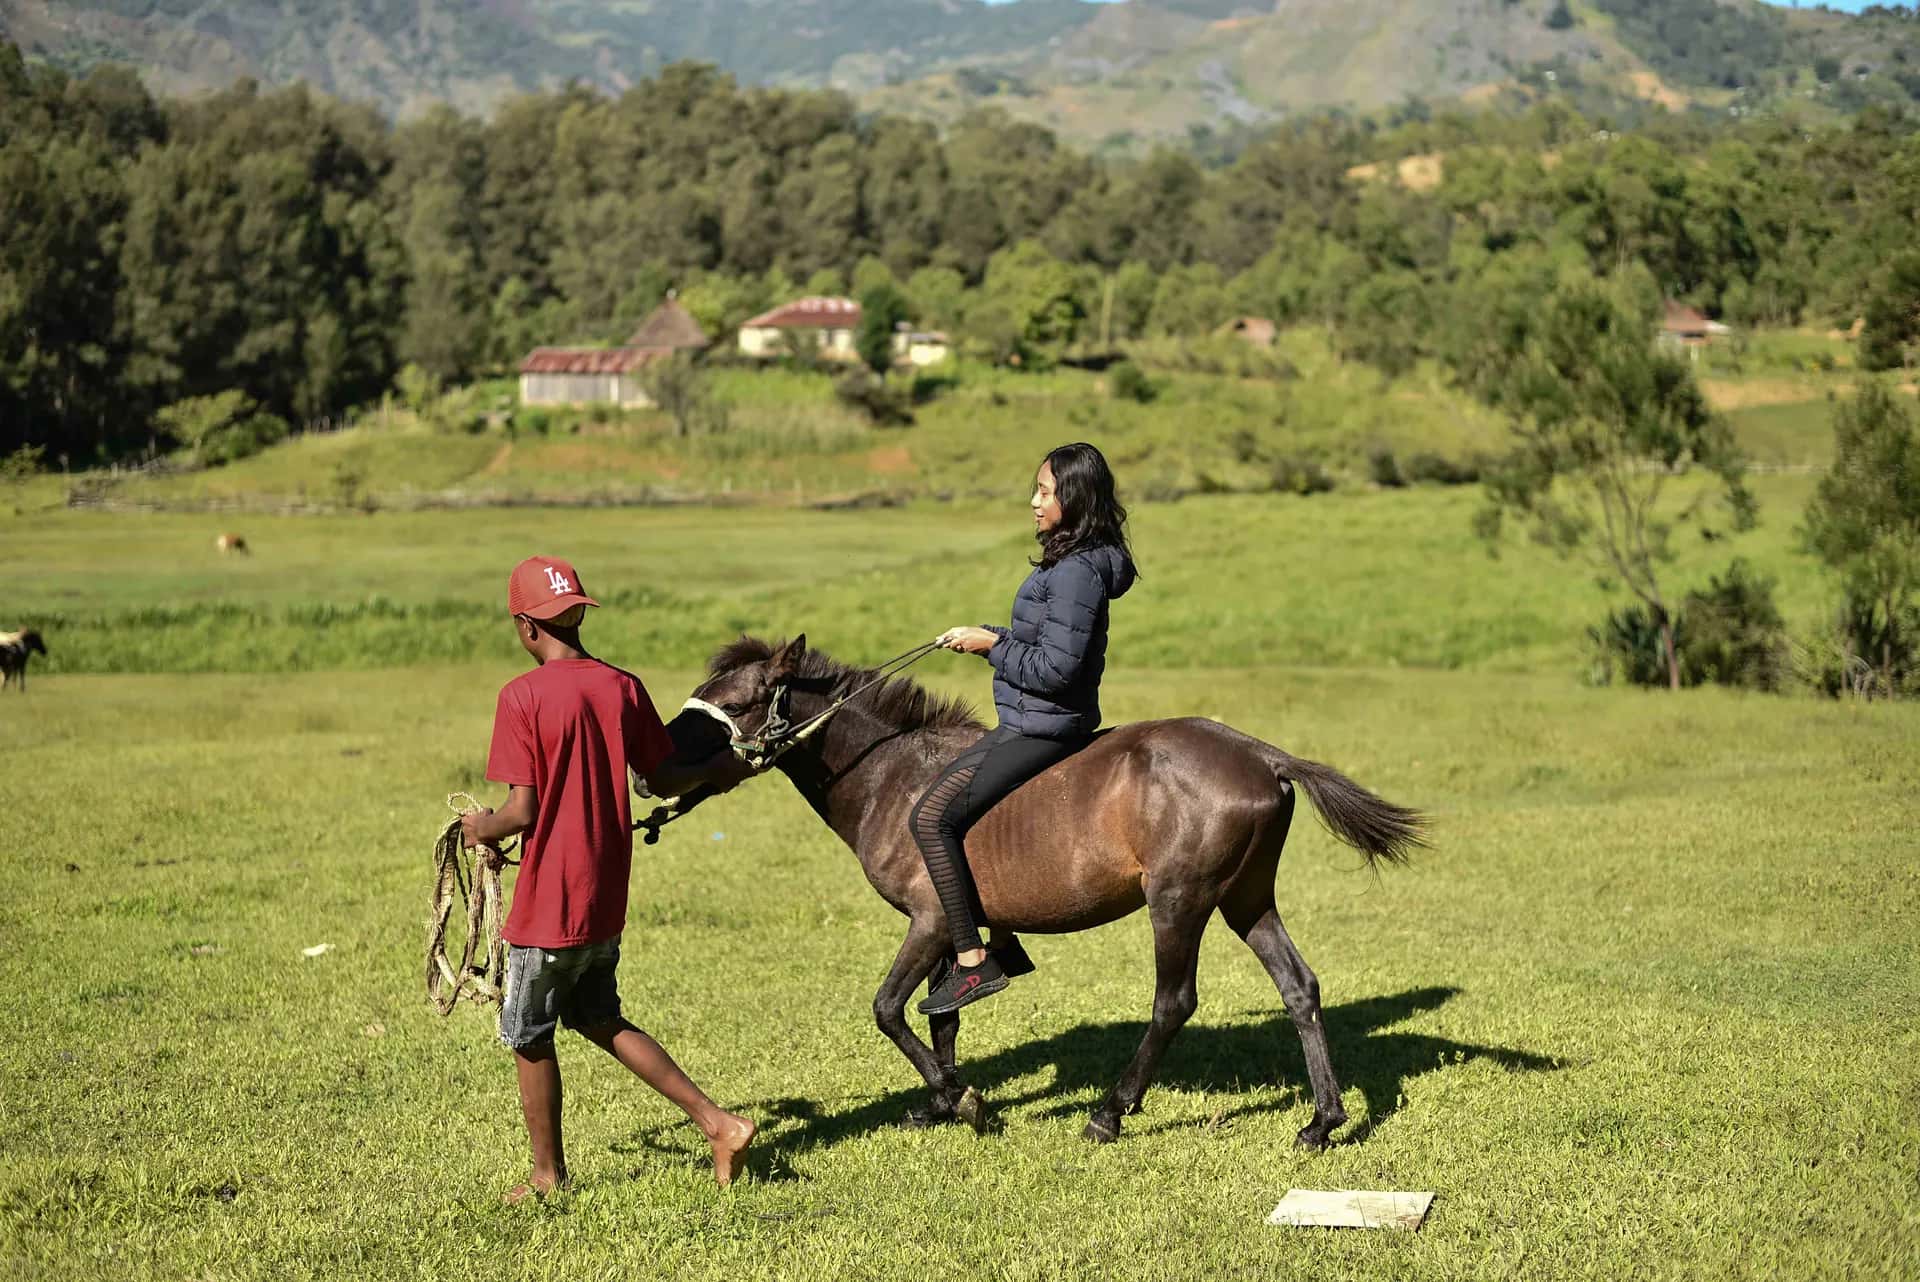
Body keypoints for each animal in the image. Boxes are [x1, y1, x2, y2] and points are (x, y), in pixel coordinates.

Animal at [667, 634, 1426, 1148]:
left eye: (728, 706)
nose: (650, 776)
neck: (893, 774)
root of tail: (1261, 755)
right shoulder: (954, 929)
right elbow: (944, 1015)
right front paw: (941, 1101)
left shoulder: (930, 918)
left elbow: (889, 1010)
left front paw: (964, 1101)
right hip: (1245, 898)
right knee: (1299, 987)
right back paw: (1323, 1122)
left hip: (1179, 901)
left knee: (1173, 1002)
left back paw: (1111, 1111)